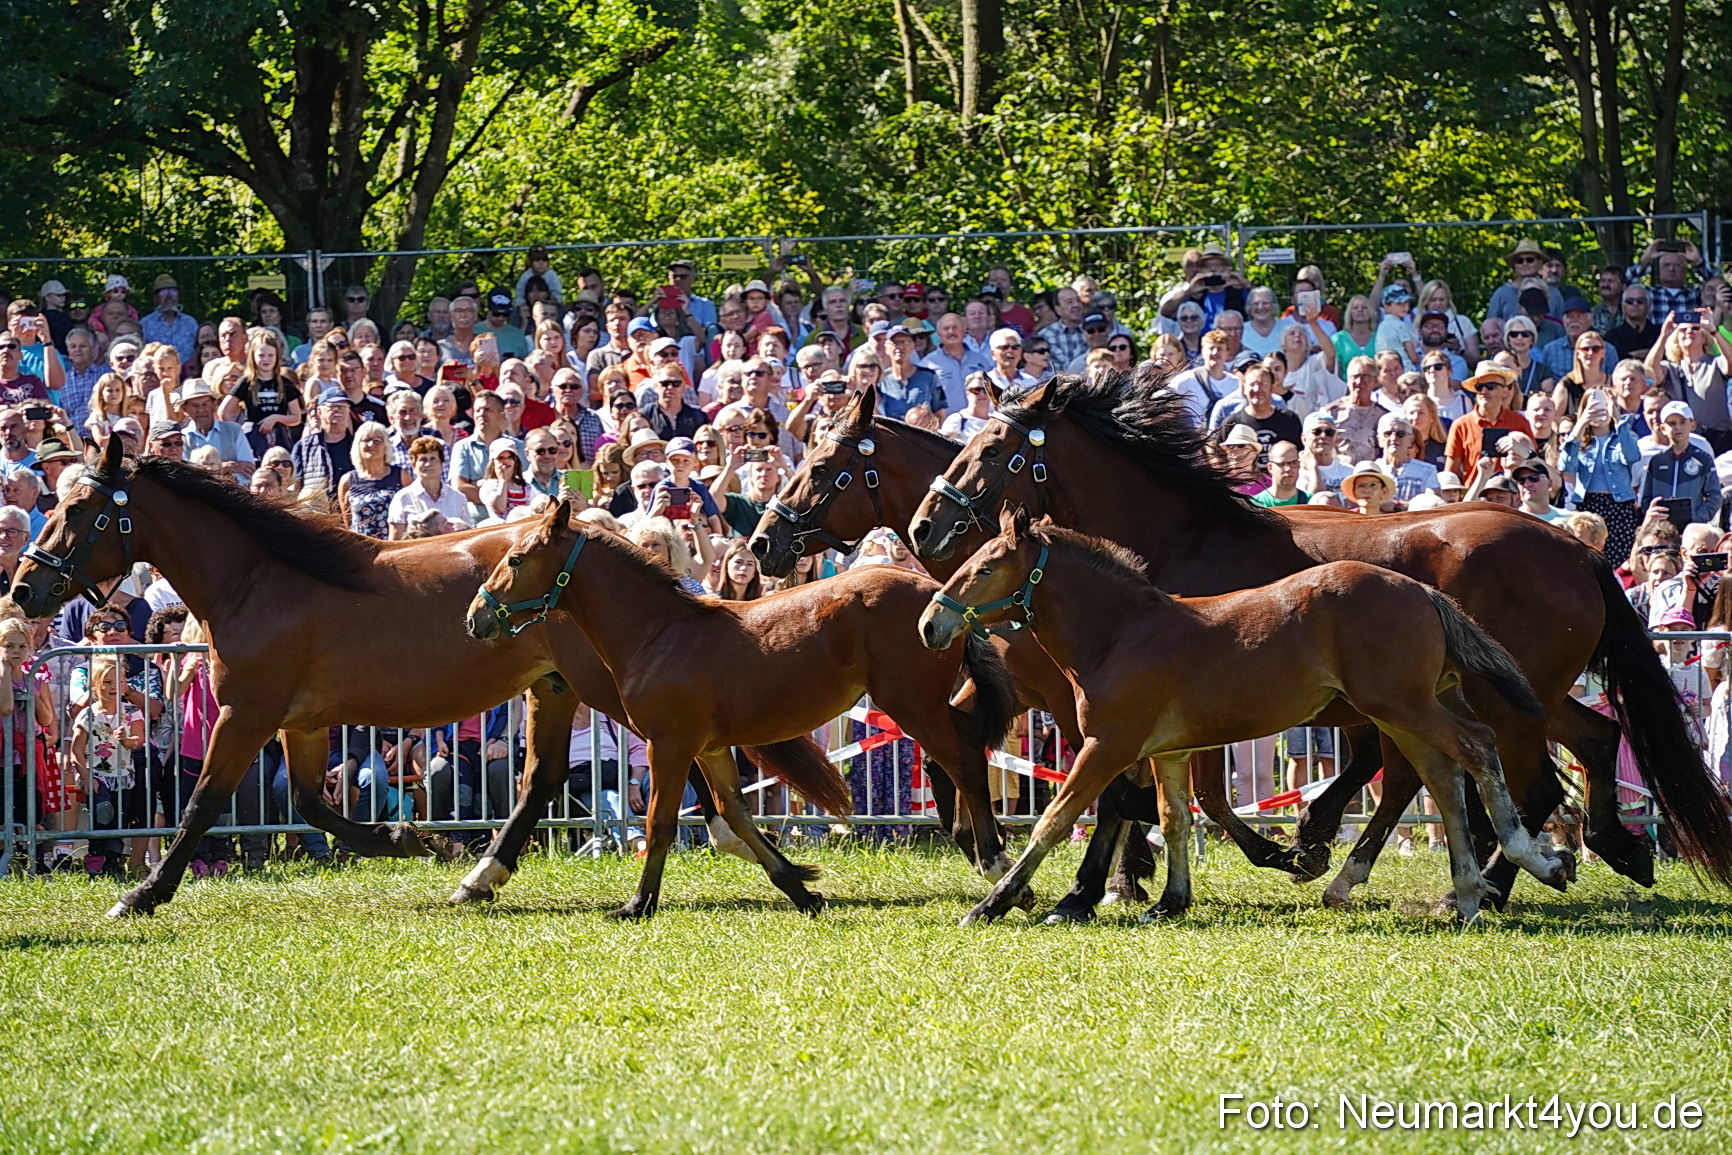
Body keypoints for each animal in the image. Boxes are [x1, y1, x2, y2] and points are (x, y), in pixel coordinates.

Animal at [5, 436, 830, 917]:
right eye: (58, 503)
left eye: (82, 512)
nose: (24, 587)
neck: (257, 581)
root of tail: (593, 528)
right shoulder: (301, 722)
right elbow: (310, 802)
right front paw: (408, 836)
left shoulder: (250, 712)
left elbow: (203, 802)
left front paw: (143, 893)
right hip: (554, 688)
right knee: (545, 778)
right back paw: (483, 873)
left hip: (595, 687)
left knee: (666, 756)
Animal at [466, 498, 1019, 919]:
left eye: (516, 559)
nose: (475, 617)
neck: (660, 633)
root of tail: (943, 603)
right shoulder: (710, 749)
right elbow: (737, 813)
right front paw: (801, 889)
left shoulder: (669, 745)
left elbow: (660, 823)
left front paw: (638, 904)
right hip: (923, 706)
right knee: (966, 749)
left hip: (913, 704)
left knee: (966, 762)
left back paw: (996, 864)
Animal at [921, 506, 1574, 925]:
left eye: (984, 568)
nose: (931, 625)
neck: (1121, 632)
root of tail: (1423, 593)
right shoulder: (1169, 751)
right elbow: (1174, 818)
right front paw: (1169, 902)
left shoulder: (1107, 746)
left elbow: (1054, 820)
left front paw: (995, 902)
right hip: (1400, 712)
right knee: (1440, 775)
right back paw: (1465, 894)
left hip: (1402, 706)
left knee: (1477, 748)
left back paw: (1533, 860)